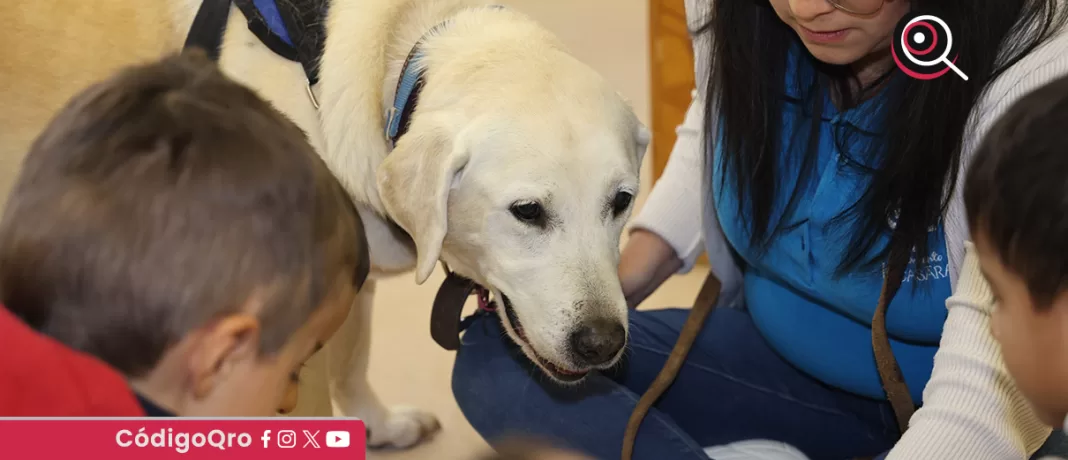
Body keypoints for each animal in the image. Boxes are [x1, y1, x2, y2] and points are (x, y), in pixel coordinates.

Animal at [2, 0, 640, 448]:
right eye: (527, 211)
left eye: (622, 202)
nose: (603, 343)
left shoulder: (352, 280)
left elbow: (353, 361)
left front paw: (375, 425)